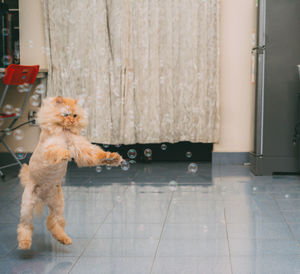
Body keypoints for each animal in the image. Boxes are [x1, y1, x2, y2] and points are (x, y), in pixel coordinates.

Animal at [16, 97, 122, 250]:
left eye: (75, 115)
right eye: (65, 114)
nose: (72, 121)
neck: (63, 131)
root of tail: (43, 198)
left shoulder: (81, 147)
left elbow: (97, 154)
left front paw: (113, 158)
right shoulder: (49, 148)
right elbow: (57, 151)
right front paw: (65, 154)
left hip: (58, 206)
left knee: (52, 222)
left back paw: (63, 239)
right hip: (27, 206)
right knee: (25, 225)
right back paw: (24, 243)